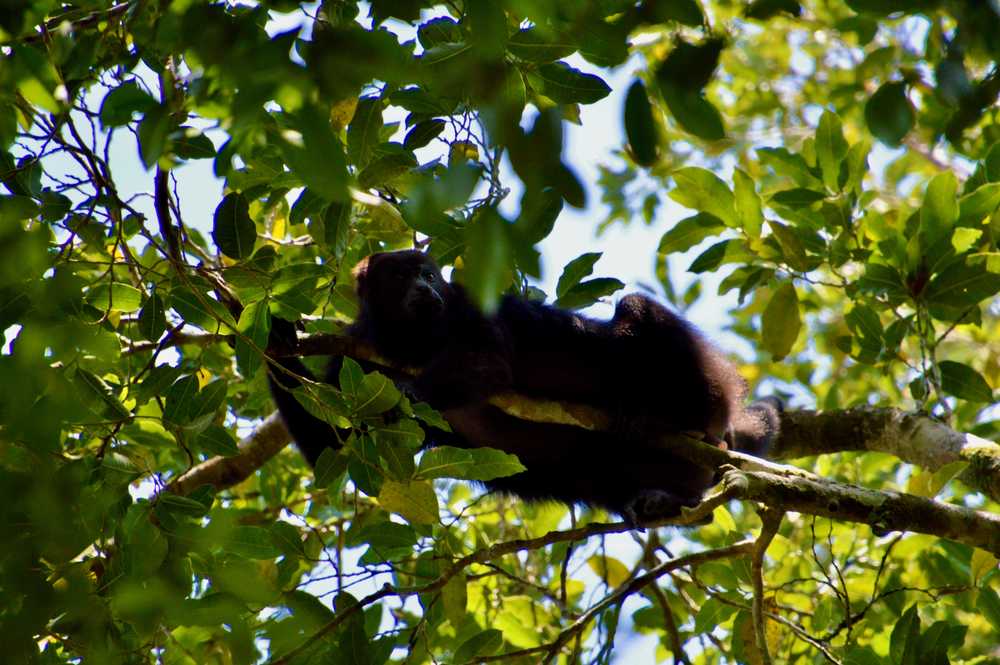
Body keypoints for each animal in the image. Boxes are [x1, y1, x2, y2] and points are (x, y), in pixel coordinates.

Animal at [268, 249, 780, 524]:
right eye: (400, 274)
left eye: (429, 273)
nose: (427, 288)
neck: (409, 339)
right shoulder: (355, 350)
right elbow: (335, 444)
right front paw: (275, 339)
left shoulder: (469, 305)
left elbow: (489, 364)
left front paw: (413, 395)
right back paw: (668, 501)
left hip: (710, 383)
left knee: (636, 307)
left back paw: (688, 420)